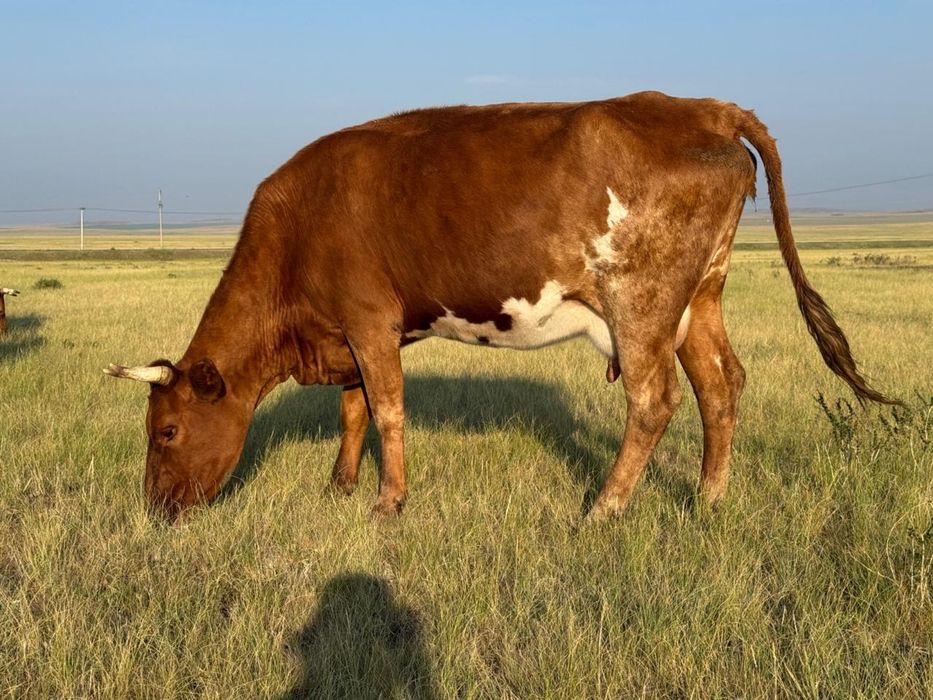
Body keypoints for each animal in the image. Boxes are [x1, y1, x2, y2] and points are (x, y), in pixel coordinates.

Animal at [105, 91, 895, 522]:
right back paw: (708, 499)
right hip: (699, 294)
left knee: (653, 398)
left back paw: (605, 507)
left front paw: (388, 502)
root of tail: (700, 108)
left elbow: (386, 409)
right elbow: (354, 408)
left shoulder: (369, 319)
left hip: (639, 299)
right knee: (720, 385)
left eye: (166, 431)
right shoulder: (349, 333)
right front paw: (340, 485)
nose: (155, 510)